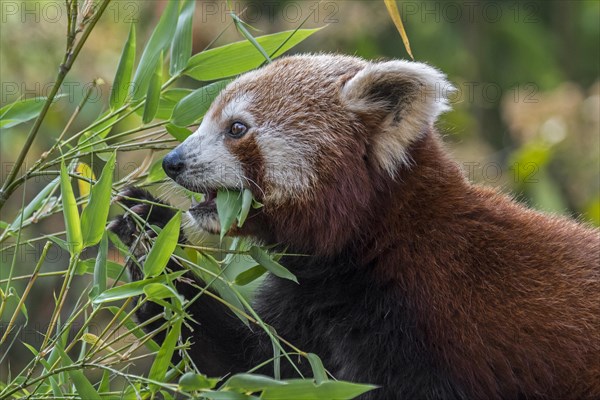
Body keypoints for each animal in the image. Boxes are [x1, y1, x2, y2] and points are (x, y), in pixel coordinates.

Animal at [109, 54, 600, 400]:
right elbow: (252, 366)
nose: (172, 162)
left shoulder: (426, 319)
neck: (377, 242)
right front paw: (145, 230)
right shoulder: (304, 298)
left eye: (236, 128)